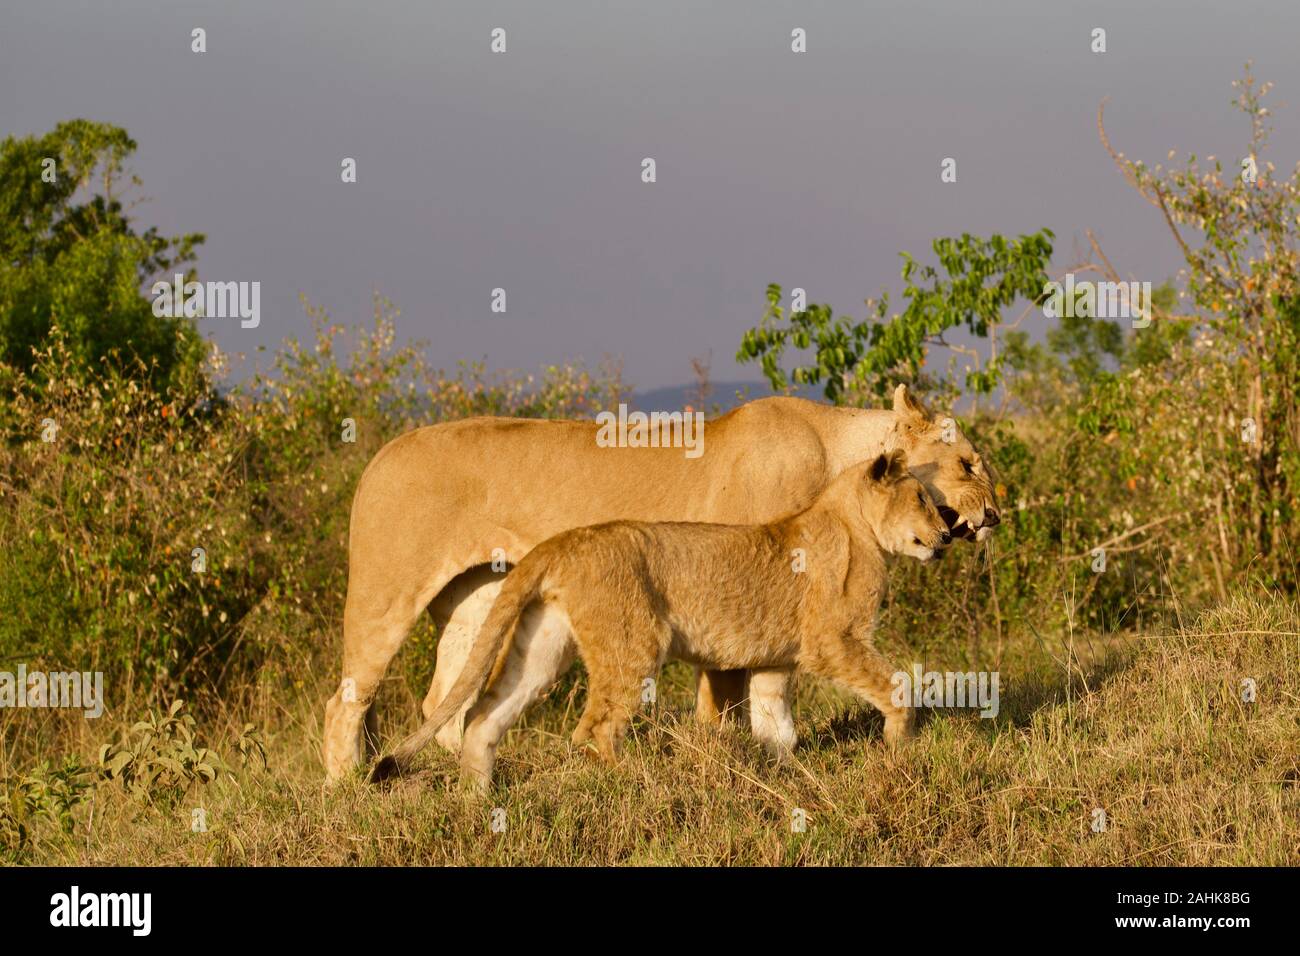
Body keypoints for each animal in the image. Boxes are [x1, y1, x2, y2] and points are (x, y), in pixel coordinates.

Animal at [323, 384, 999, 779]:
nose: (994, 514)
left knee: (448, 699)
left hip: (479, 603)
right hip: (387, 593)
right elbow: (723, 704)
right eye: (969, 464)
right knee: (346, 701)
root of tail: (378, 453)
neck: (837, 454)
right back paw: (348, 787)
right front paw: (724, 763)